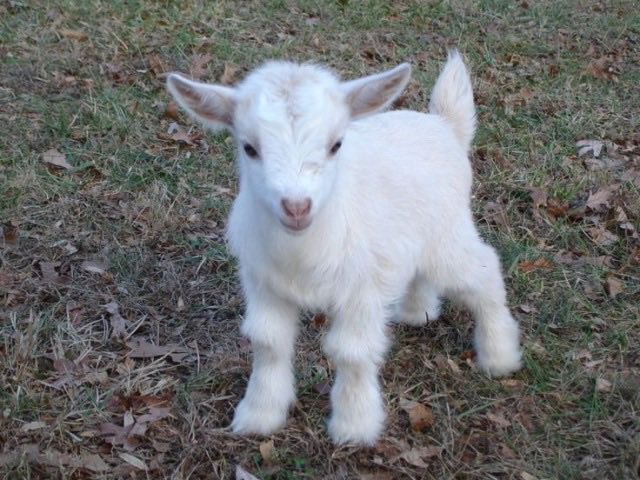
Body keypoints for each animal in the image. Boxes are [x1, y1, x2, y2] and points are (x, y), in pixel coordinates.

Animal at [166, 51, 523, 445]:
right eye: (249, 148)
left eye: (336, 144)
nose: (296, 207)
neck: (302, 252)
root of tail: (445, 125)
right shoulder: (263, 282)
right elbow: (269, 342)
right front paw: (259, 415)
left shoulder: (362, 289)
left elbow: (351, 352)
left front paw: (354, 427)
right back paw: (418, 313)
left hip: (448, 236)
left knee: (484, 271)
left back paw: (499, 355)